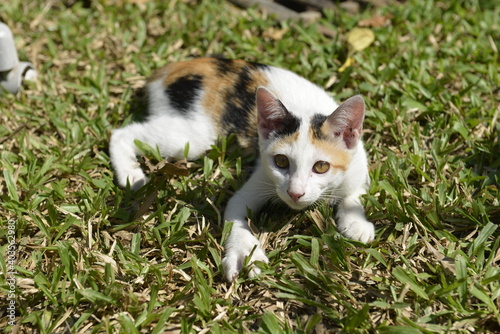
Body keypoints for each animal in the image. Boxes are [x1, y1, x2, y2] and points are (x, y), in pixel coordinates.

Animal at [109, 56, 376, 280]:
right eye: (281, 162)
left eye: (321, 166)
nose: (295, 193)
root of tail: (176, 67)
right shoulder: (262, 176)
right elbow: (235, 213)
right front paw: (246, 252)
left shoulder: (358, 166)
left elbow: (355, 193)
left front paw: (356, 224)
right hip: (192, 136)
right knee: (121, 133)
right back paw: (131, 175)